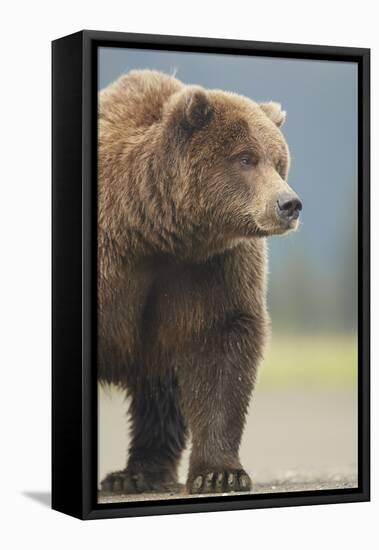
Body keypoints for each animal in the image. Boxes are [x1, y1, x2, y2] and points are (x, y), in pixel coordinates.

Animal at [98, 71, 302, 498]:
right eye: (246, 158)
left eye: (279, 162)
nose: (289, 204)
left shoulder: (212, 269)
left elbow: (221, 347)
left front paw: (220, 473)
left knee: (160, 389)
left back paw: (139, 473)